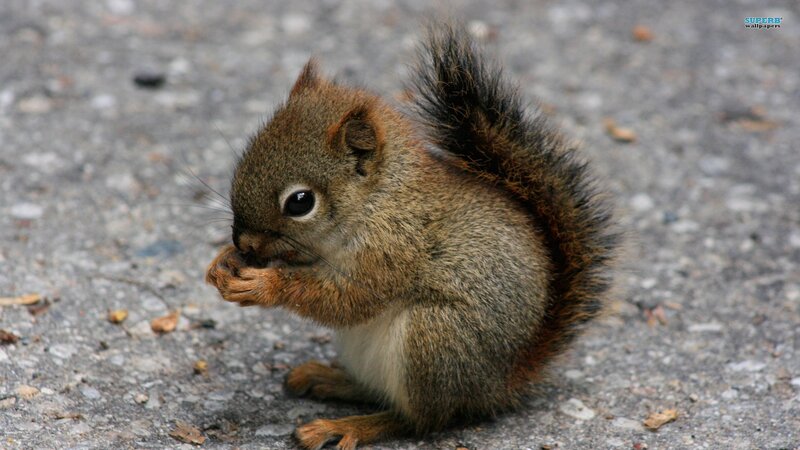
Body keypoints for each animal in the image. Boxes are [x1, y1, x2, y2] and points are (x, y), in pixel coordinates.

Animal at [205, 24, 617, 450]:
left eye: (300, 202)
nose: (245, 244)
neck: (378, 200)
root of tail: (498, 384)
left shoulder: (393, 250)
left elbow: (348, 299)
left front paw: (263, 285)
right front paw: (223, 263)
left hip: (434, 340)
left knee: (419, 420)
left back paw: (349, 426)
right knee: (377, 392)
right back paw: (328, 378)